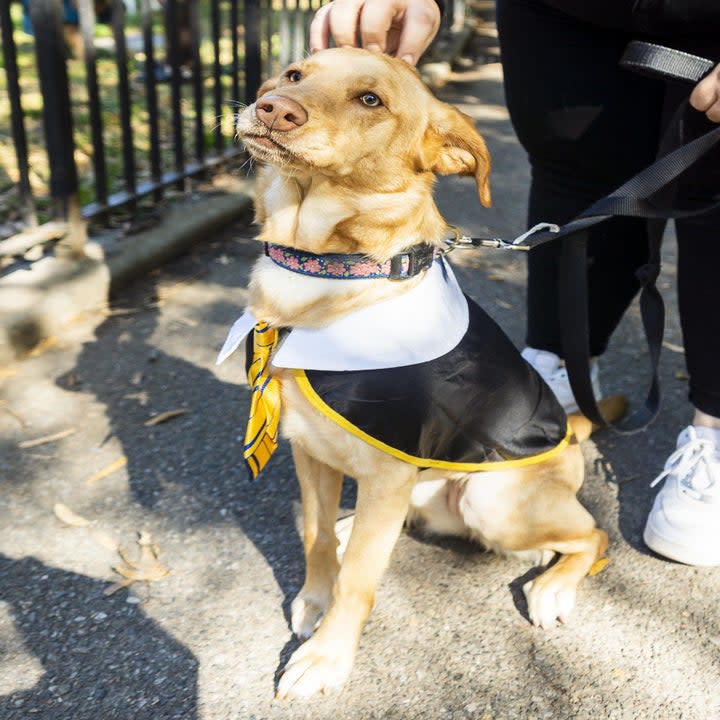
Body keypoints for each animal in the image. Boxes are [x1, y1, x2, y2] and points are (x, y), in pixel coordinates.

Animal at [224, 47, 624, 700]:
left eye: (371, 100)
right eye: (294, 75)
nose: (273, 109)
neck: (327, 271)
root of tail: (571, 432)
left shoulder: (388, 473)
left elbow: (359, 581)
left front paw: (326, 658)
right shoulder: (308, 451)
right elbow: (313, 536)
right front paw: (314, 595)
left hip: (492, 499)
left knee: (592, 535)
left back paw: (552, 586)